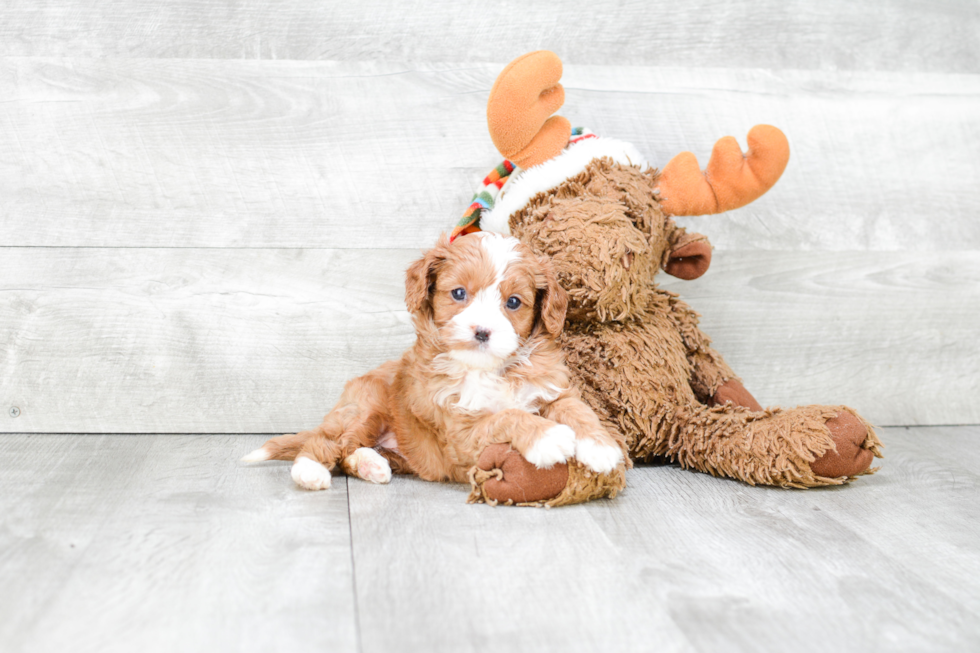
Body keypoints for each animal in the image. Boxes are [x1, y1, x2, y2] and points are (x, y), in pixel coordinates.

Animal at [241, 232, 624, 492]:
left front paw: (602, 447)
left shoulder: (552, 388)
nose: (482, 331)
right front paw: (548, 437)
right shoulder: (460, 431)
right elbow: (504, 416)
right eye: (458, 293)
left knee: (350, 451)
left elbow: (577, 410)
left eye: (514, 302)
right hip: (367, 404)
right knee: (330, 443)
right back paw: (311, 471)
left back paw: (371, 465)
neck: (491, 369)